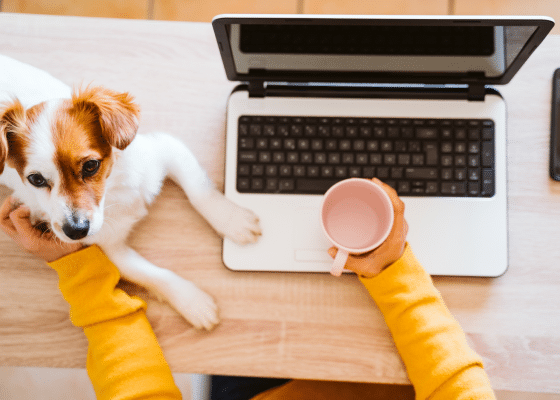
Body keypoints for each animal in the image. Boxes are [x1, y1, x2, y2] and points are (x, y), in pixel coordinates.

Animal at [0, 55, 262, 332]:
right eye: (36, 179)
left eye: (91, 165)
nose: (75, 231)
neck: (113, 193)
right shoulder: (109, 248)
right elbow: (152, 274)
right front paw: (193, 302)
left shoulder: (164, 149)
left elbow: (199, 191)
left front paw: (233, 221)